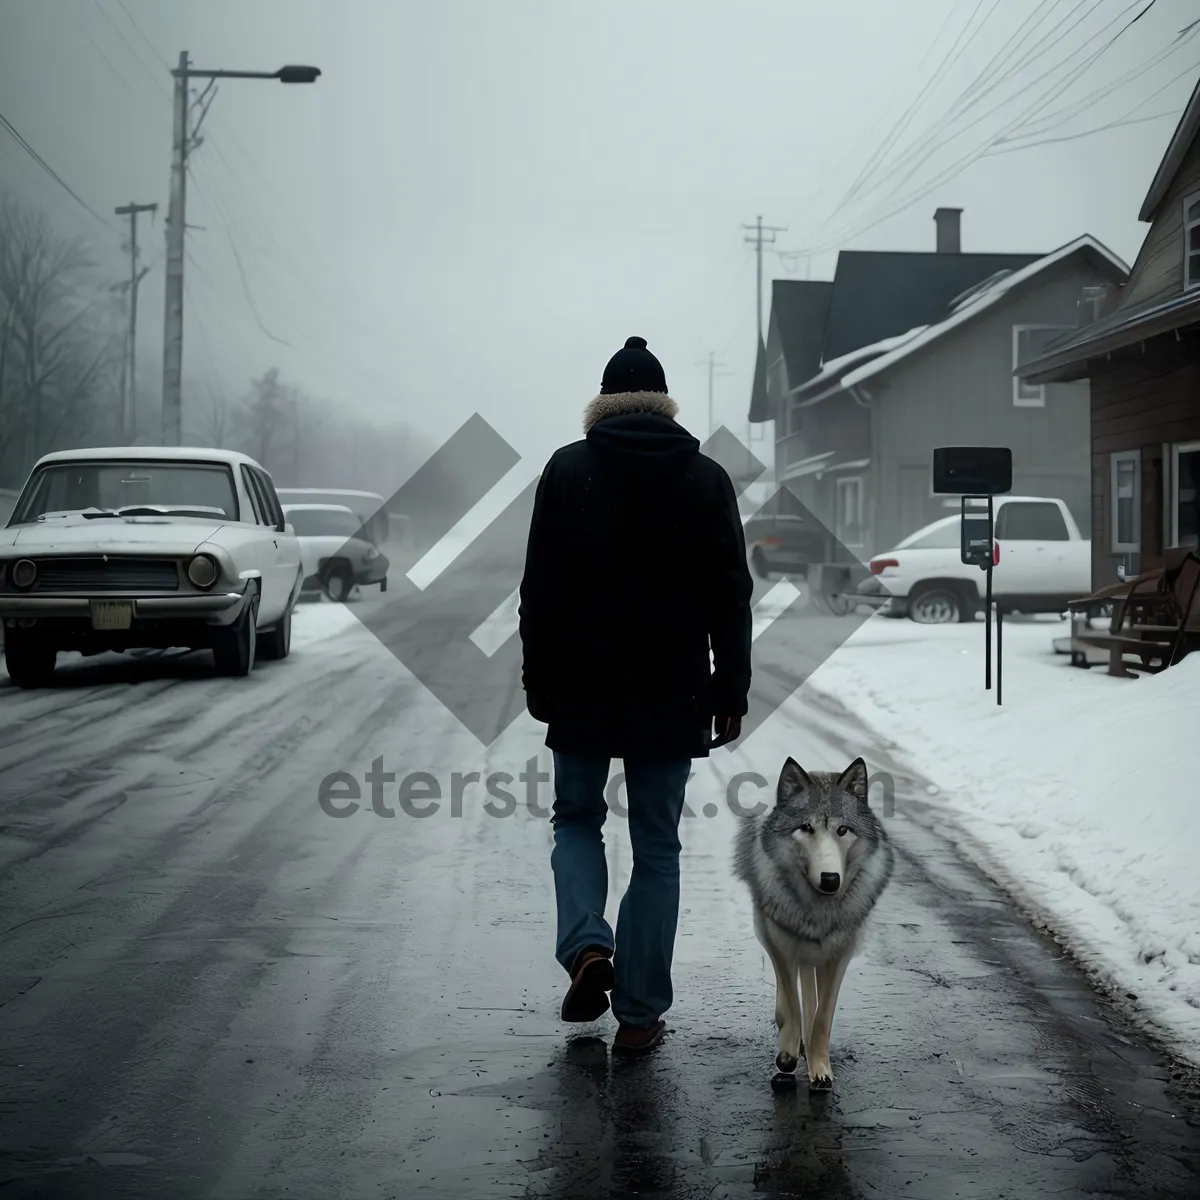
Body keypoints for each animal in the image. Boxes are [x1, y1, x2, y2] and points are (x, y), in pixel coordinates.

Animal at [729, 763, 892, 1094]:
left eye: (842, 830)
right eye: (806, 828)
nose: (830, 879)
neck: (818, 910)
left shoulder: (840, 955)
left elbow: (822, 1017)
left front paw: (820, 1070)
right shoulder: (781, 945)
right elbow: (792, 1002)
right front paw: (788, 1054)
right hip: (770, 933)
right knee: (787, 989)